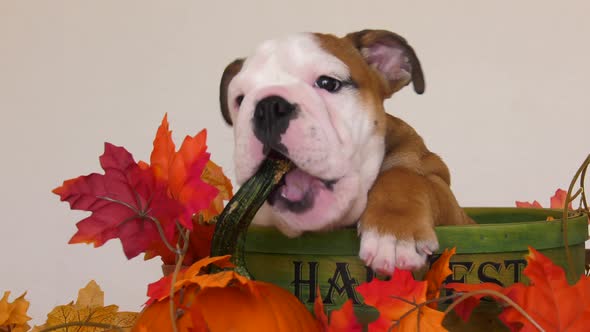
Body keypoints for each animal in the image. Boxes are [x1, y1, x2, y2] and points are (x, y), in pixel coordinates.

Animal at [220, 29, 474, 274]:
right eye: (240, 99)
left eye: (328, 83)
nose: (268, 107)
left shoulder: (446, 194)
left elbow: (406, 177)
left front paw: (393, 231)